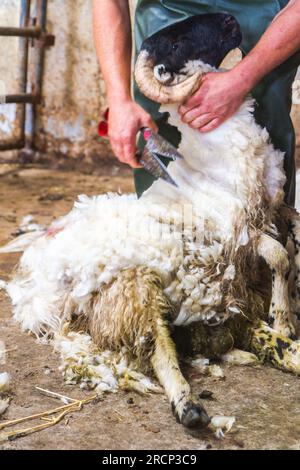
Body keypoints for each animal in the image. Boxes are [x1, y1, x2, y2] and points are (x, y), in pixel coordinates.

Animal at [0, 11, 300, 430]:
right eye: (175, 42)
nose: (230, 18)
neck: (218, 147)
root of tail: (37, 282)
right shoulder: (237, 230)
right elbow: (278, 256)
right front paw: (283, 318)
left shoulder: (271, 207)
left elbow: (291, 231)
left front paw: (284, 311)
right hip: (134, 289)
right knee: (158, 349)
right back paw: (189, 408)